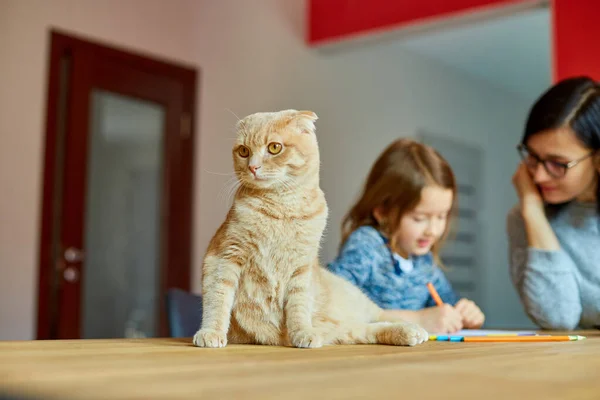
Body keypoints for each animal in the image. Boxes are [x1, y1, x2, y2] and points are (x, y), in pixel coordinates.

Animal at [195, 109, 428, 346]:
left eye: (274, 147)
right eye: (244, 151)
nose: (252, 166)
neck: (282, 208)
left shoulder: (301, 268)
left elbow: (299, 306)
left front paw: (302, 332)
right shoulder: (225, 256)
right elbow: (217, 300)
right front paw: (211, 332)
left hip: (362, 304)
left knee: (383, 314)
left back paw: (418, 329)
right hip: (351, 331)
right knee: (372, 328)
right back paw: (409, 332)